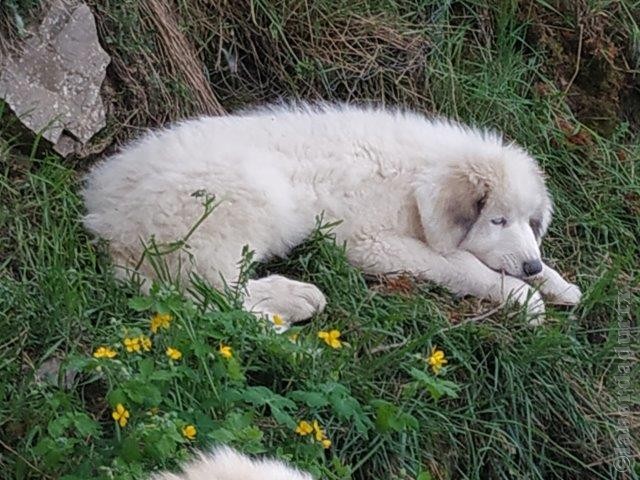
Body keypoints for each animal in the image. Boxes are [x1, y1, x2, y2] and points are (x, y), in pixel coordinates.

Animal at [84, 103, 580, 324]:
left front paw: (557, 284)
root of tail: (106, 222)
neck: (414, 177)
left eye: (530, 223)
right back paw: (294, 303)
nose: (530, 265)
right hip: (243, 198)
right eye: (497, 220)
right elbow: (461, 265)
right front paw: (523, 297)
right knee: (216, 294)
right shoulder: (373, 242)